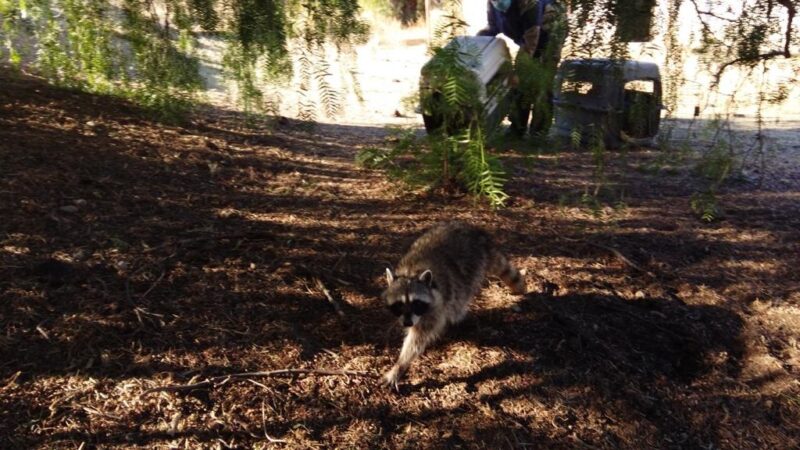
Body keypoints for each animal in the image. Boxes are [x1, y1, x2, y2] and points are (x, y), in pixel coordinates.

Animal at [382, 220, 524, 388]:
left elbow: (419, 337)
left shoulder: (437, 305)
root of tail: (478, 233)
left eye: (417, 303)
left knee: (461, 295)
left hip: (472, 265)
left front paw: (400, 365)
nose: (408, 323)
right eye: (399, 305)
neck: (411, 273)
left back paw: (456, 315)